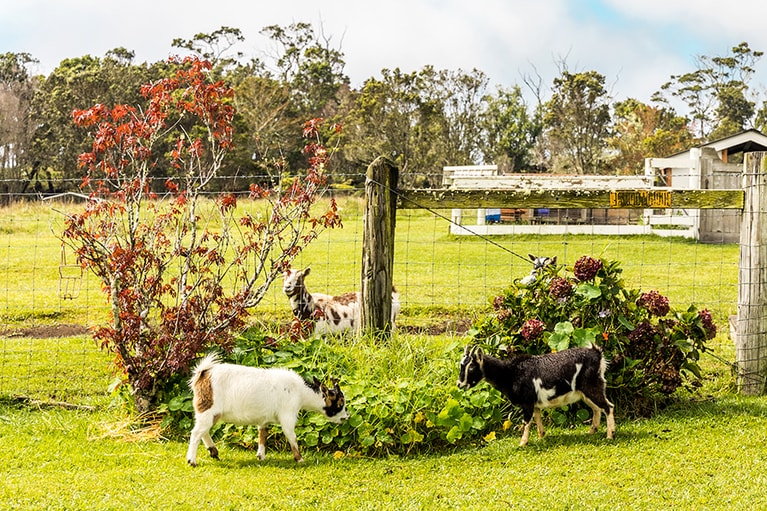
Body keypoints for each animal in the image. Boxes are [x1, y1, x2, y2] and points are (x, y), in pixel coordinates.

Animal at [188, 354, 350, 466]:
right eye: (341, 403)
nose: (347, 416)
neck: (300, 391)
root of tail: (203, 374)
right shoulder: (288, 415)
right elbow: (292, 436)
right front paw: (300, 459)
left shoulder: (263, 420)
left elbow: (262, 434)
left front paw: (261, 456)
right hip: (208, 409)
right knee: (196, 432)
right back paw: (192, 461)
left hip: (209, 412)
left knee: (204, 431)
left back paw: (213, 452)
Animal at [460, 344, 616, 448]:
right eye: (461, 366)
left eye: (471, 367)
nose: (460, 385)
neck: (511, 373)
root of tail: (597, 353)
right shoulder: (534, 404)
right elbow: (537, 418)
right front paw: (541, 436)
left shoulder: (527, 402)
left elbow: (526, 422)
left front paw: (522, 443)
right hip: (585, 393)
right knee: (597, 409)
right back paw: (592, 432)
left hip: (592, 387)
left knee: (608, 407)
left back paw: (610, 435)